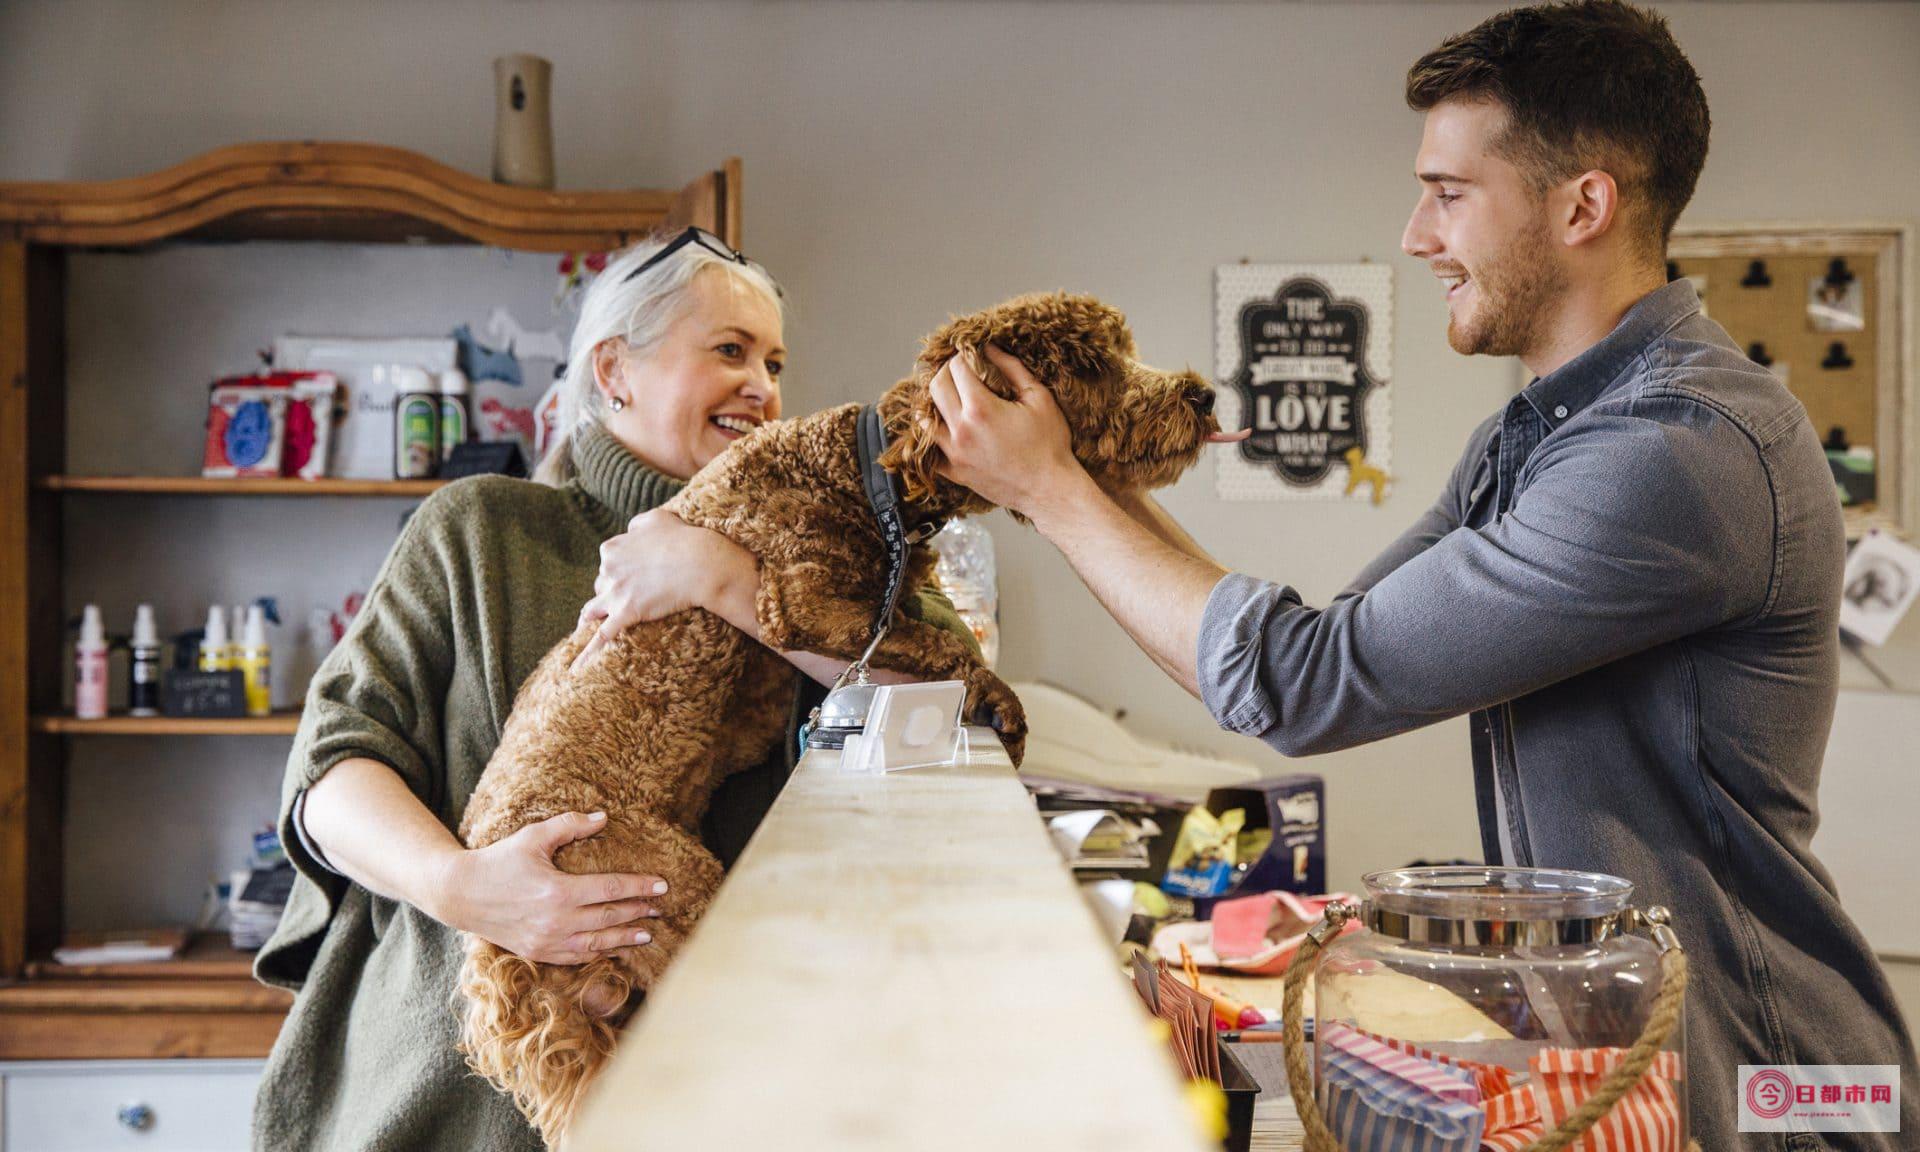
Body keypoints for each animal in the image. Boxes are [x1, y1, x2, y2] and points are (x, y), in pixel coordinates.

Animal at [453, 289, 1228, 1144]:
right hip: (663, 887)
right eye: (1091, 363)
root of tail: (498, 952)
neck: (866, 472)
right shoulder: (801, 600)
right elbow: (941, 643)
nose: (1203, 396)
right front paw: (1004, 705)